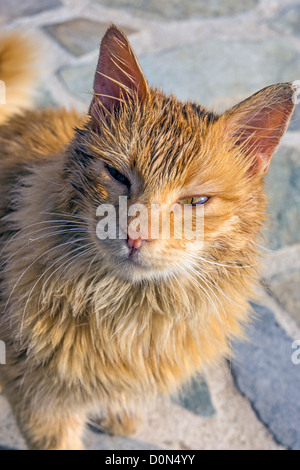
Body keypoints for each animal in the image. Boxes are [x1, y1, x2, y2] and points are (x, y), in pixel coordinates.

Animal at [0, 24, 296, 448]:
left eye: (195, 200)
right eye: (117, 175)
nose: (135, 235)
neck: (128, 312)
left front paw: (118, 409)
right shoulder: (40, 402)